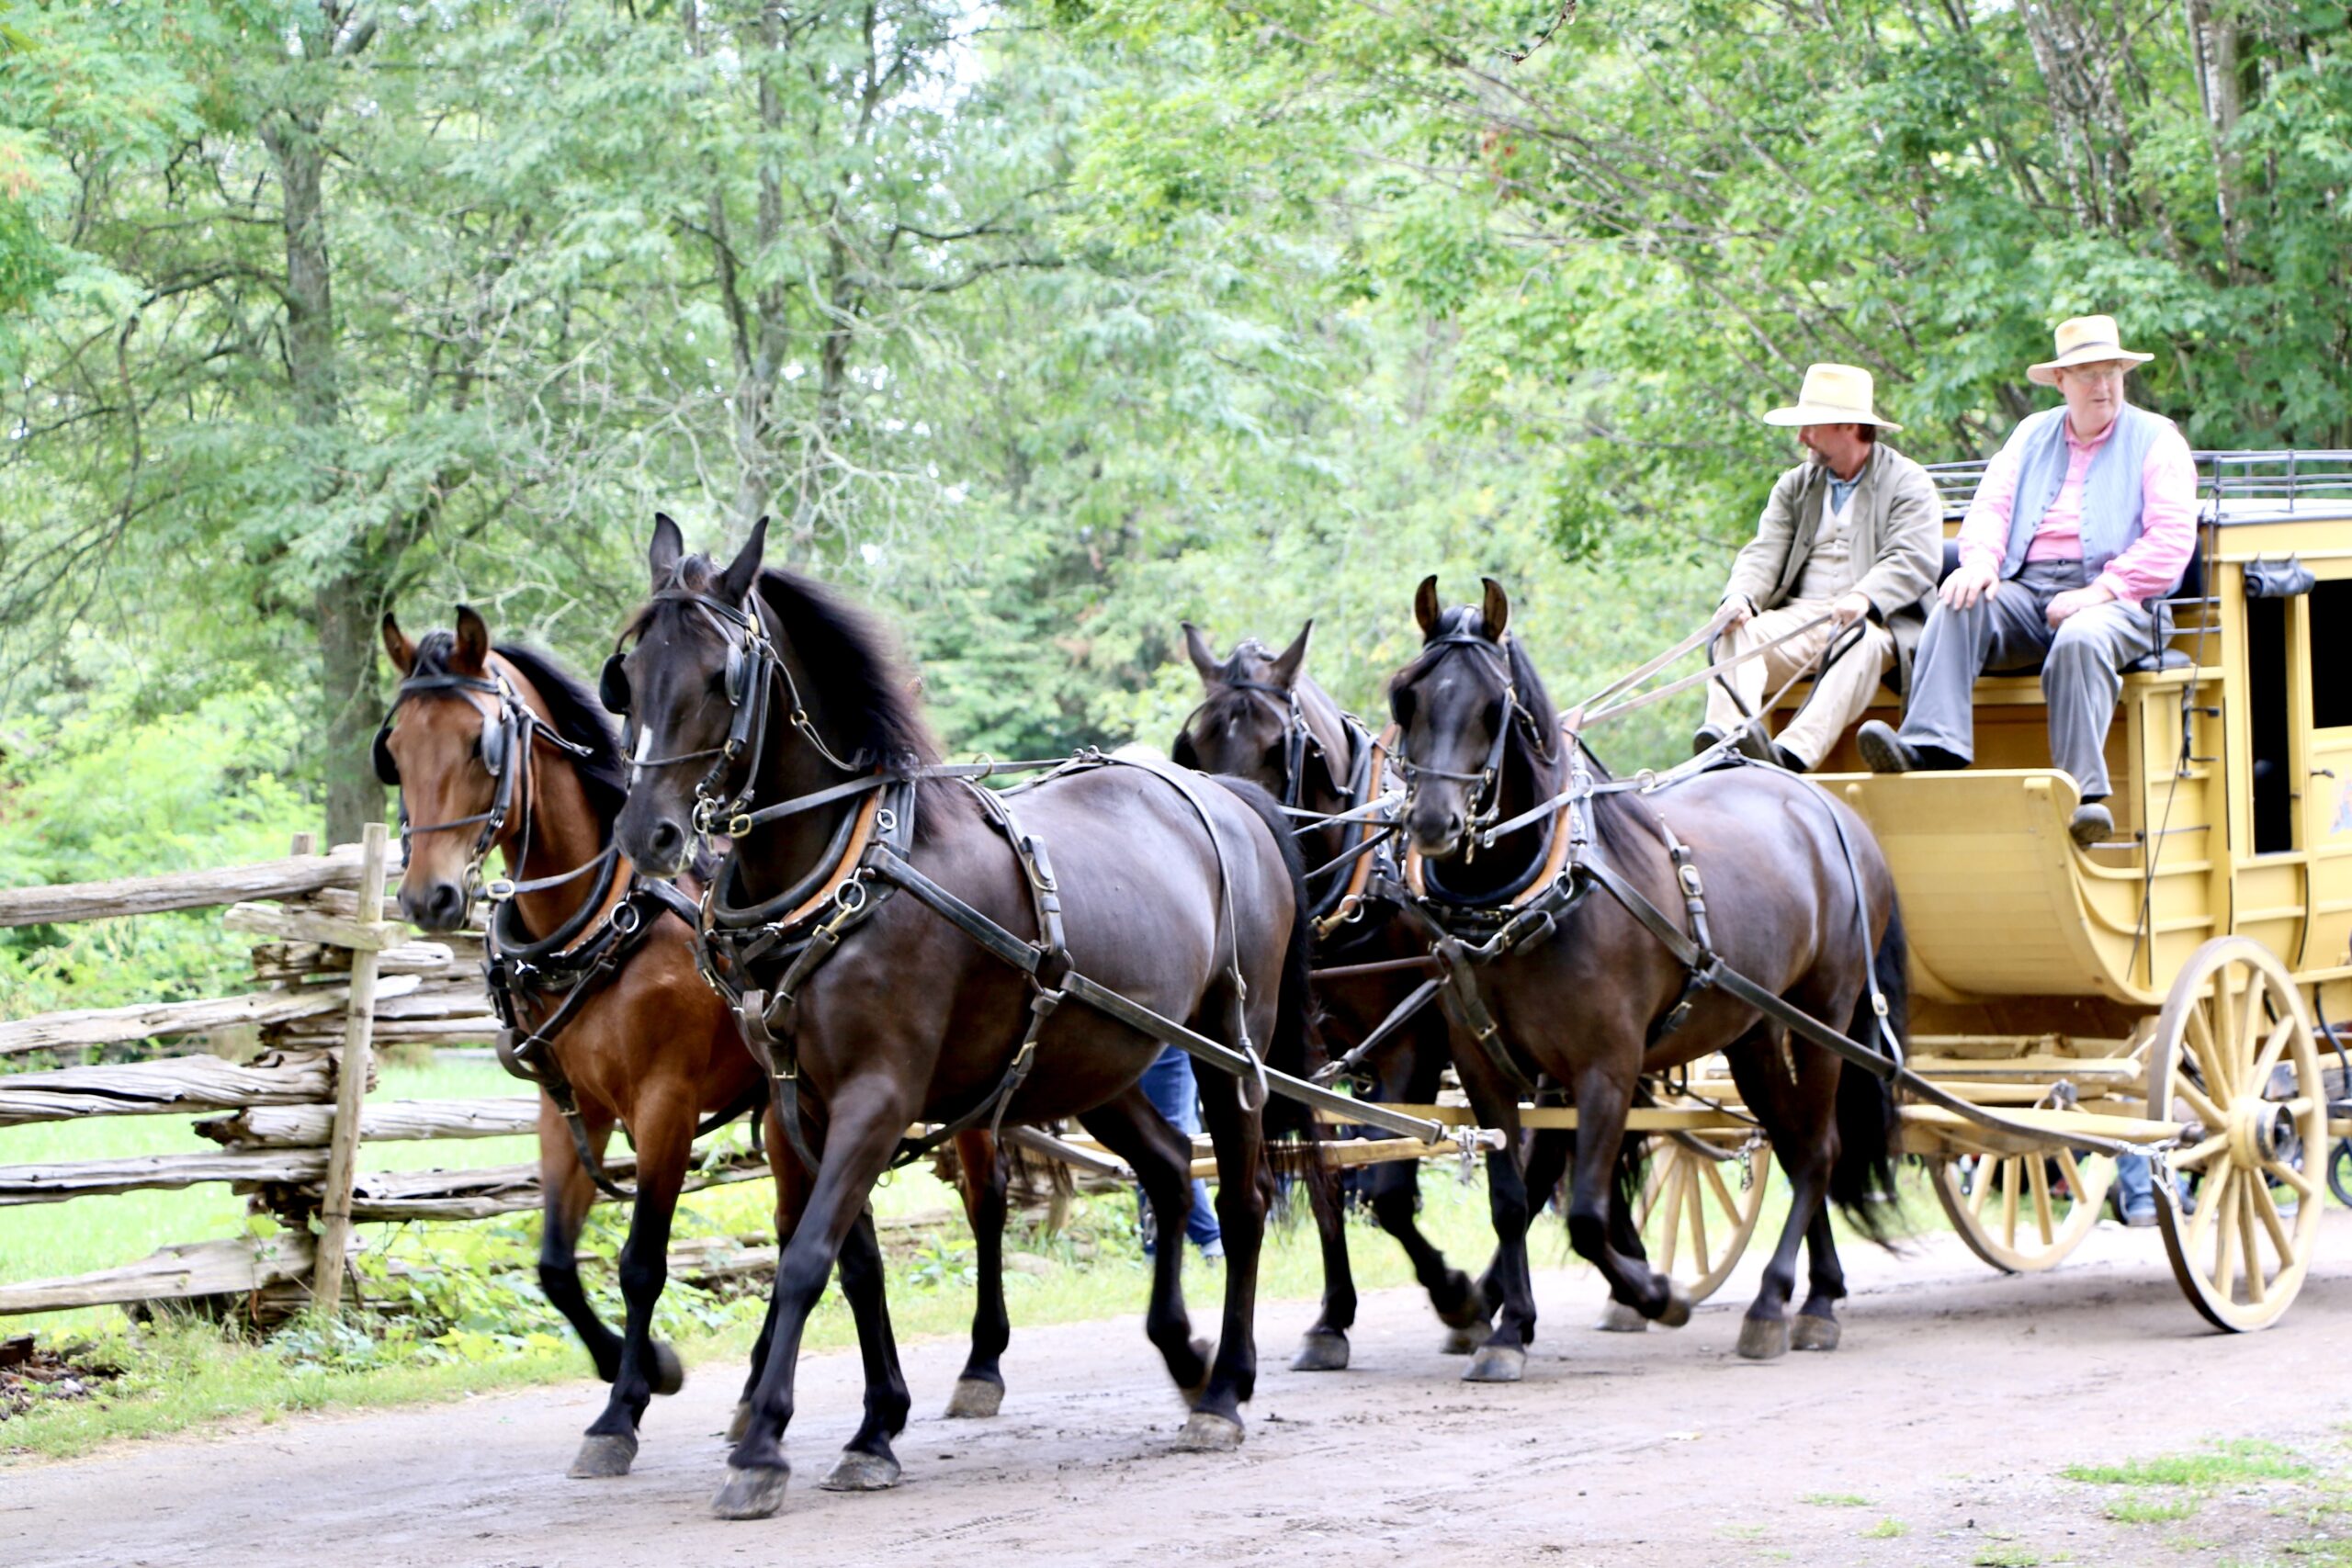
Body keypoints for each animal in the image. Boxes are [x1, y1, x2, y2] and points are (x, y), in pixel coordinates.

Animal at [605, 515, 1315, 1520]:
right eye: (629, 676)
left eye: (719, 676)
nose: (649, 834)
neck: (845, 871)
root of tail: (1229, 799)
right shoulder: (796, 1106)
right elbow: (852, 1262)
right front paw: (873, 1426)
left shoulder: (878, 1095)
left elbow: (805, 1258)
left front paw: (764, 1450)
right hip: (1097, 1057)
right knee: (1174, 1170)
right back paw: (1186, 1353)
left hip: (1224, 1049)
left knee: (1243, 1200)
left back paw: (1221, 1393)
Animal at [1171, 621, 1503, 1369]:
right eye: (1194, 746)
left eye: (1279, 746)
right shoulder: (1303, 1057)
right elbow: (1329, 1177)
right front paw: (1332, 1318)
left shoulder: (1410, 1041)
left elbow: (1383, 1189)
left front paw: (1457, 1298)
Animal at [1383, 577, 1902, 1377]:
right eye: (1406, 697)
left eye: (1493, 705)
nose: (1434, 823)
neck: (1531, 895)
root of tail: (1826, 805)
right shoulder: (1484, 1067)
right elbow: (1511, 1202)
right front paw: (1505, 1327)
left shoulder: (1609, 1064)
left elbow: (1587, 1215)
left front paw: (1658, 1293)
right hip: (1754, 1033)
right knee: (1793, 1143)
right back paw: (1816, 1291)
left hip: (1826, 1017)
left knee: (1818, 1150)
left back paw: (1783, 1303)